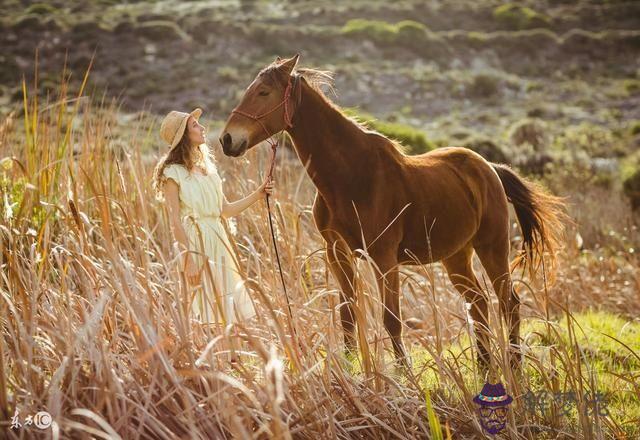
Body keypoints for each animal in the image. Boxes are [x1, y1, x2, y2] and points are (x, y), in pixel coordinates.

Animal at [220, 55, 564, 372]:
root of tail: (490, 168)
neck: (352, 175)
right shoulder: (338, 253)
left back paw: (514, 364)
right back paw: (484, 365)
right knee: (478, 302)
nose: (227, 139)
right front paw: (352, 372)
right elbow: (348, 315)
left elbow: (391, 319)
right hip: (456, 256)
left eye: (264, 92)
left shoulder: (384, 258)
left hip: (492, 247)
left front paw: (402, 376)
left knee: (508, 302)